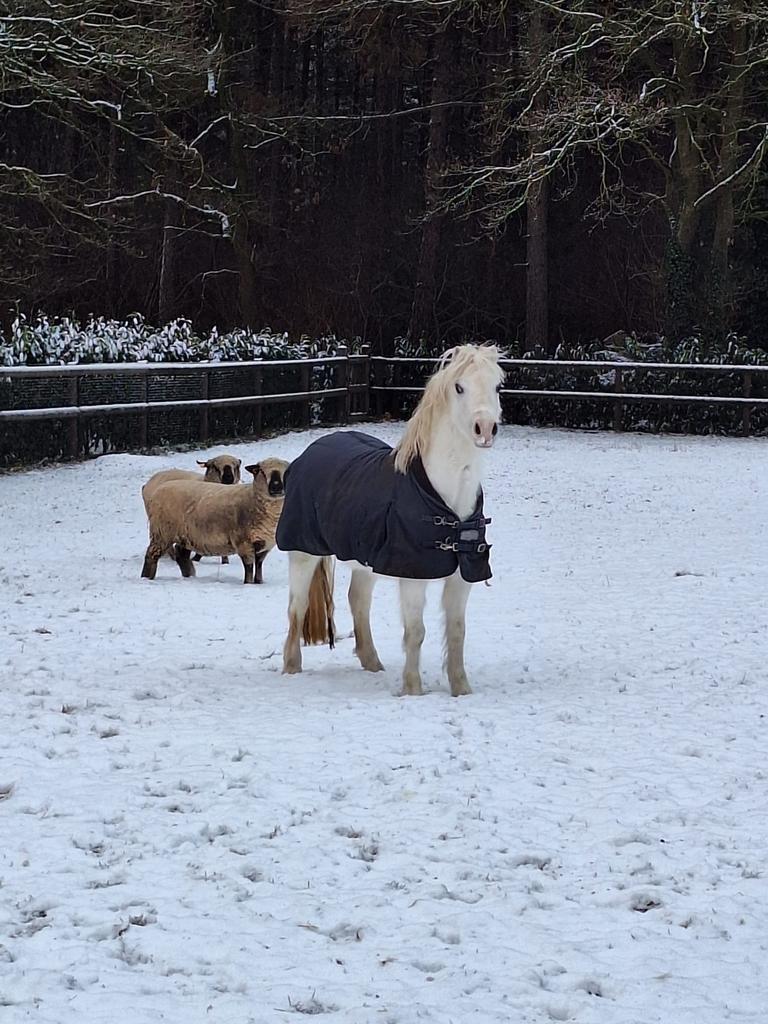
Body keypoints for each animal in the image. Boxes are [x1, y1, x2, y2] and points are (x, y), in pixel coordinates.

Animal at [275, 344, 504, 696]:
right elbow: (416, 632)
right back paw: (291, 667)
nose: (485, 428)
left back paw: (372, 663)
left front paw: (461, 689)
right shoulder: (412, 577)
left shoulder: (462, 577)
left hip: (363, 561)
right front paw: (413, 690)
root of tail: (311, 451)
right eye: (459, 387)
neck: (441, 500)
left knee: (357, 601)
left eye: (497, 386)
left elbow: (457, 631)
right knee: (296, 608)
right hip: (302, 553)